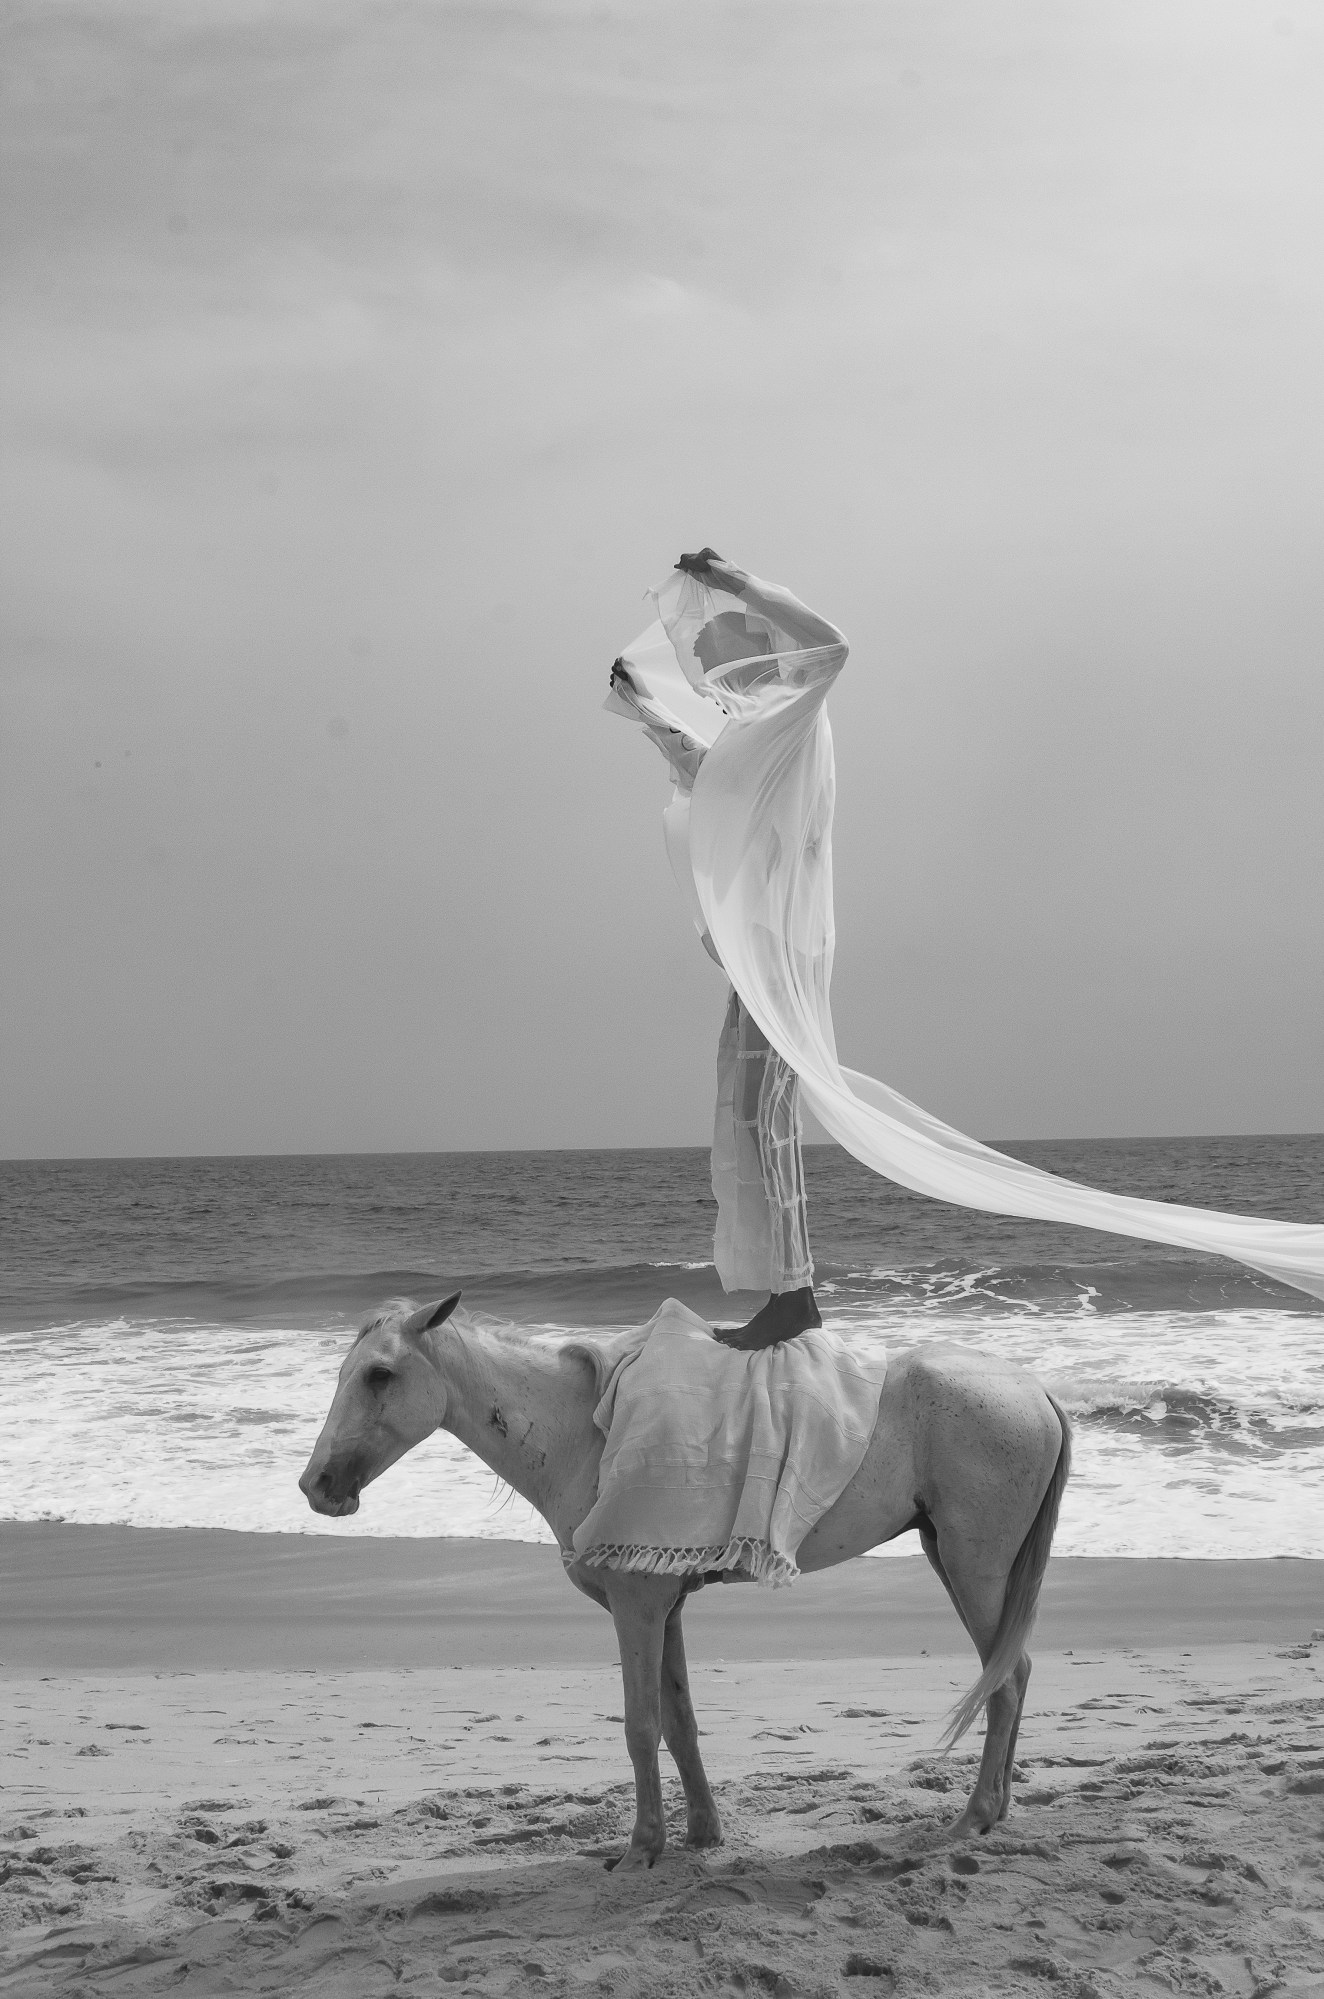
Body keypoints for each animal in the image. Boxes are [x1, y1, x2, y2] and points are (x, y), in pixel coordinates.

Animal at [300, 1303, 1072, 1863]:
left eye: (378, 1374)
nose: (317, 1485)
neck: (582, 1433)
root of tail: (1034, 1387)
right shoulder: (662, 1609)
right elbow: (680, 1722)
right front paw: (702, 1832)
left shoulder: (635, 1607)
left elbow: (641, 1726)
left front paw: (643, 1847)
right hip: (957, 1562)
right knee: (1015, 1672)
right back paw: (997, 1810)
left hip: (974, 1569)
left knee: (1005, 1680)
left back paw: (974, 1815)